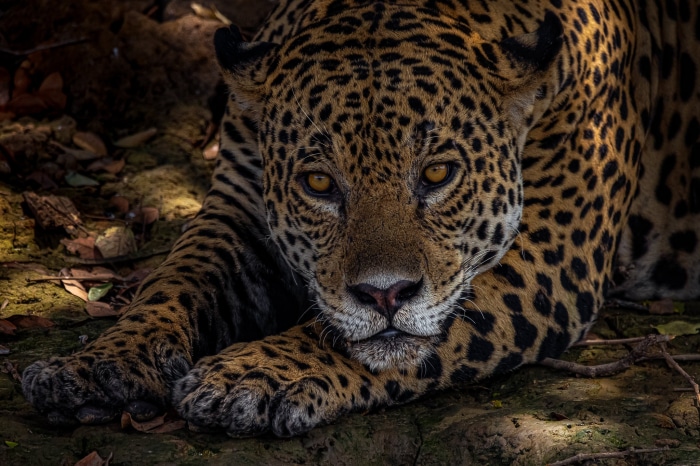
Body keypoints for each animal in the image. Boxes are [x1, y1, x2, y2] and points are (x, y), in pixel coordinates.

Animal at [22, 0, 700, 438]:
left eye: (437, 174)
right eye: (320, 183)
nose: (386, 294)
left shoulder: (553, 254)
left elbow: (383, 336)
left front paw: (255, 375)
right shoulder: (236, 211)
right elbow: (172, 282)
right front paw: (96, 364)